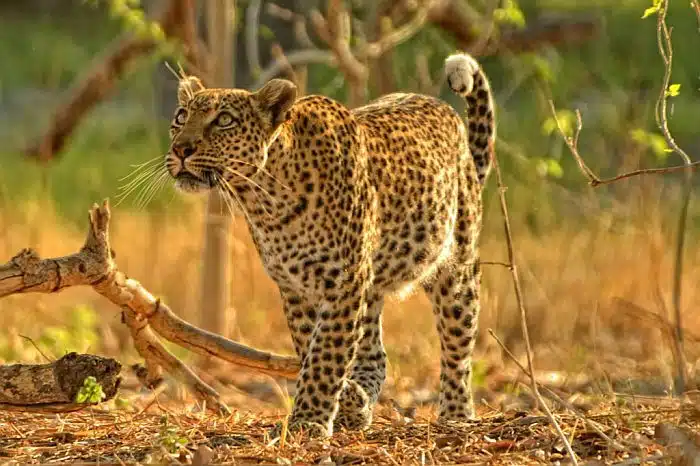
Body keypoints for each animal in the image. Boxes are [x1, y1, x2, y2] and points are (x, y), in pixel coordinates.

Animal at [165, 52, 494, 438]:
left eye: (224, 121)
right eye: (181, 116)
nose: (181, 149)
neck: (266, 198)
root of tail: (447, 113)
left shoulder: (343, 282)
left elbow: (325, 353)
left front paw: (308, 420)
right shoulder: (296, 288)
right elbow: (314, 348)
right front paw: (349, 400)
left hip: (457, 267)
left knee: (458, 344)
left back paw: (457, 412)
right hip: (372, 286)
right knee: (375, 353)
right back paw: (359, 406)